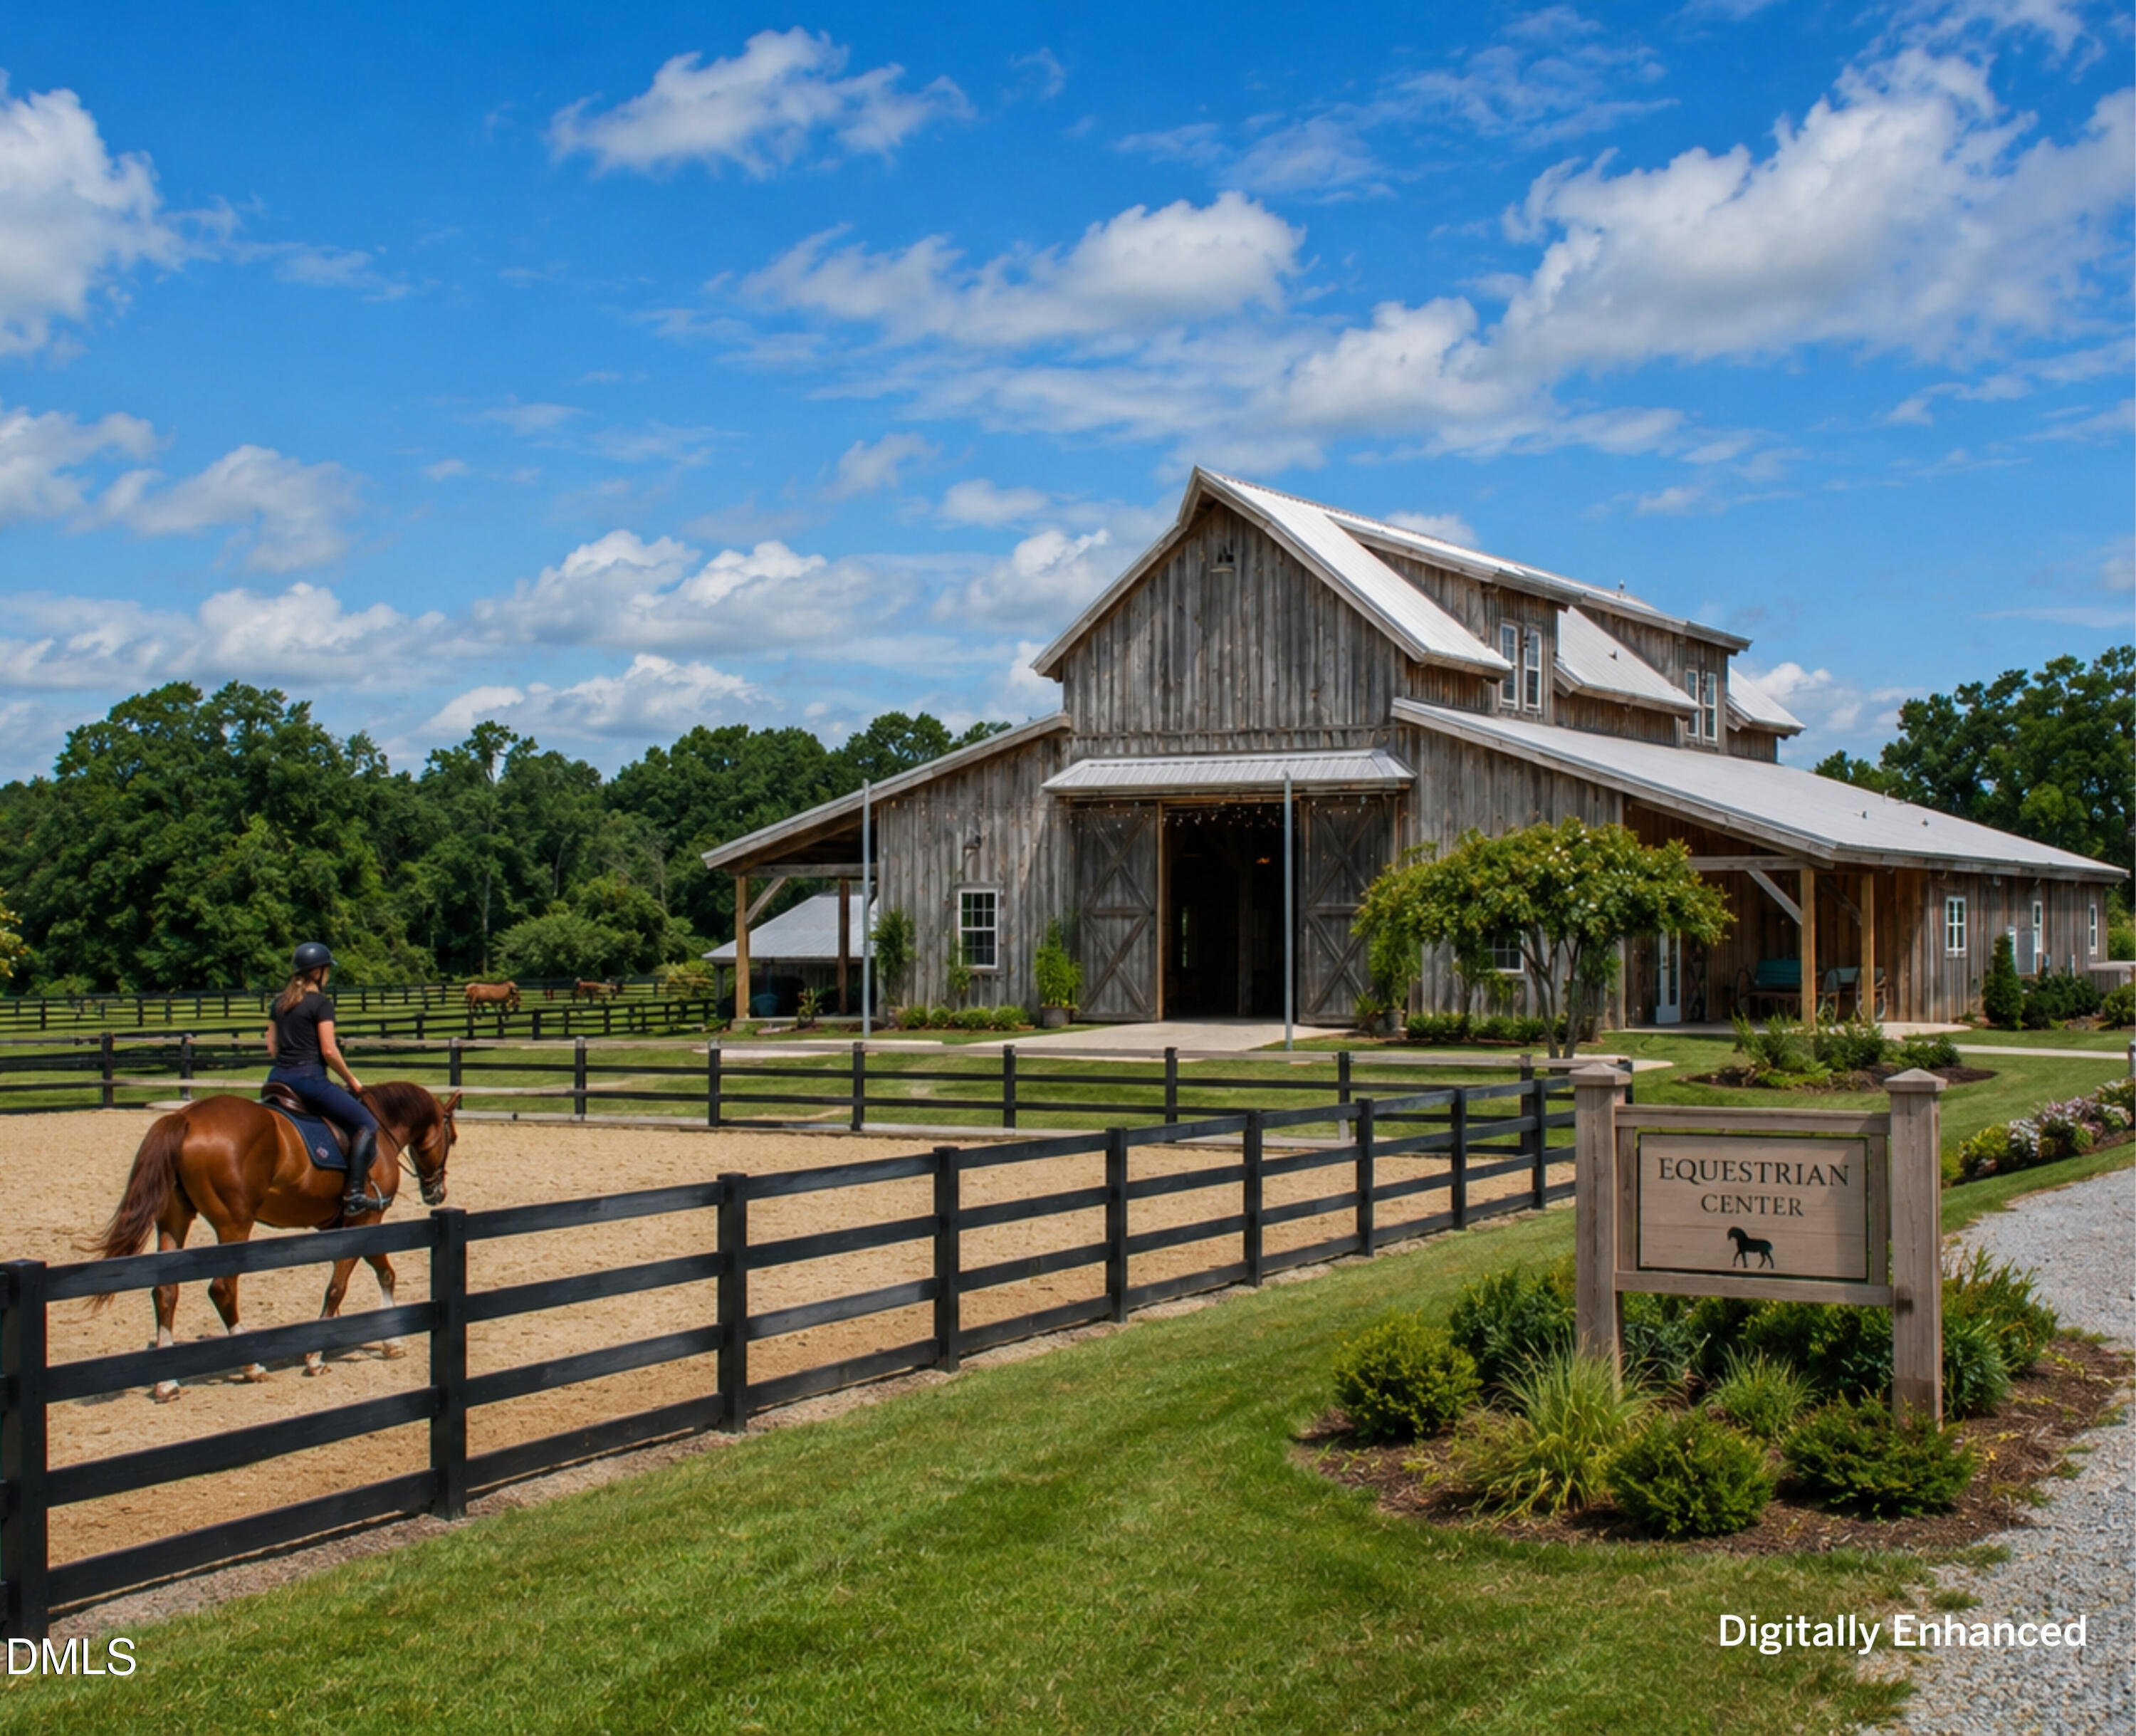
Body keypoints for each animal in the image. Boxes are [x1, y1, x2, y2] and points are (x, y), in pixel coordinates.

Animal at [90, 1083, 460, 1401]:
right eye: (452, 1139)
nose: (437, 1193)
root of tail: (186, 1118)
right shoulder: (364, 1221)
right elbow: (340, 1286)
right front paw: (317, 1355)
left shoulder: (344, 1227)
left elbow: (380, 1275)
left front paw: (384, 1340)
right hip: (234, 1226)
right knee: (222, 1289)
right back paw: (251, 1365)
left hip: (174, 1221)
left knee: (166, 1291)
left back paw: (167, 1380)